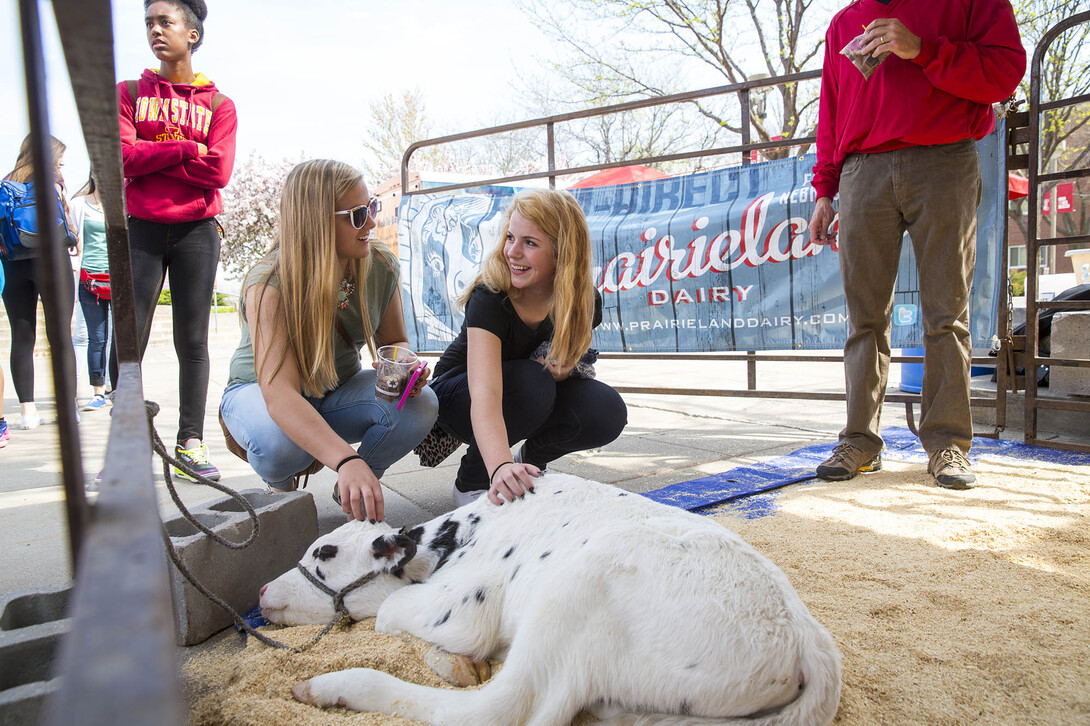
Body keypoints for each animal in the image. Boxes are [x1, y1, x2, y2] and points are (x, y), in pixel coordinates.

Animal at [259, 468, 837, 723]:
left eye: (325, 551)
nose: (262, 589)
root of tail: (807, 637)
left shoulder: (464, 605)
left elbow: (388, 612)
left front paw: (455, 659)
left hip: (577, 590)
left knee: (499, 708)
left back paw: (329, 686)